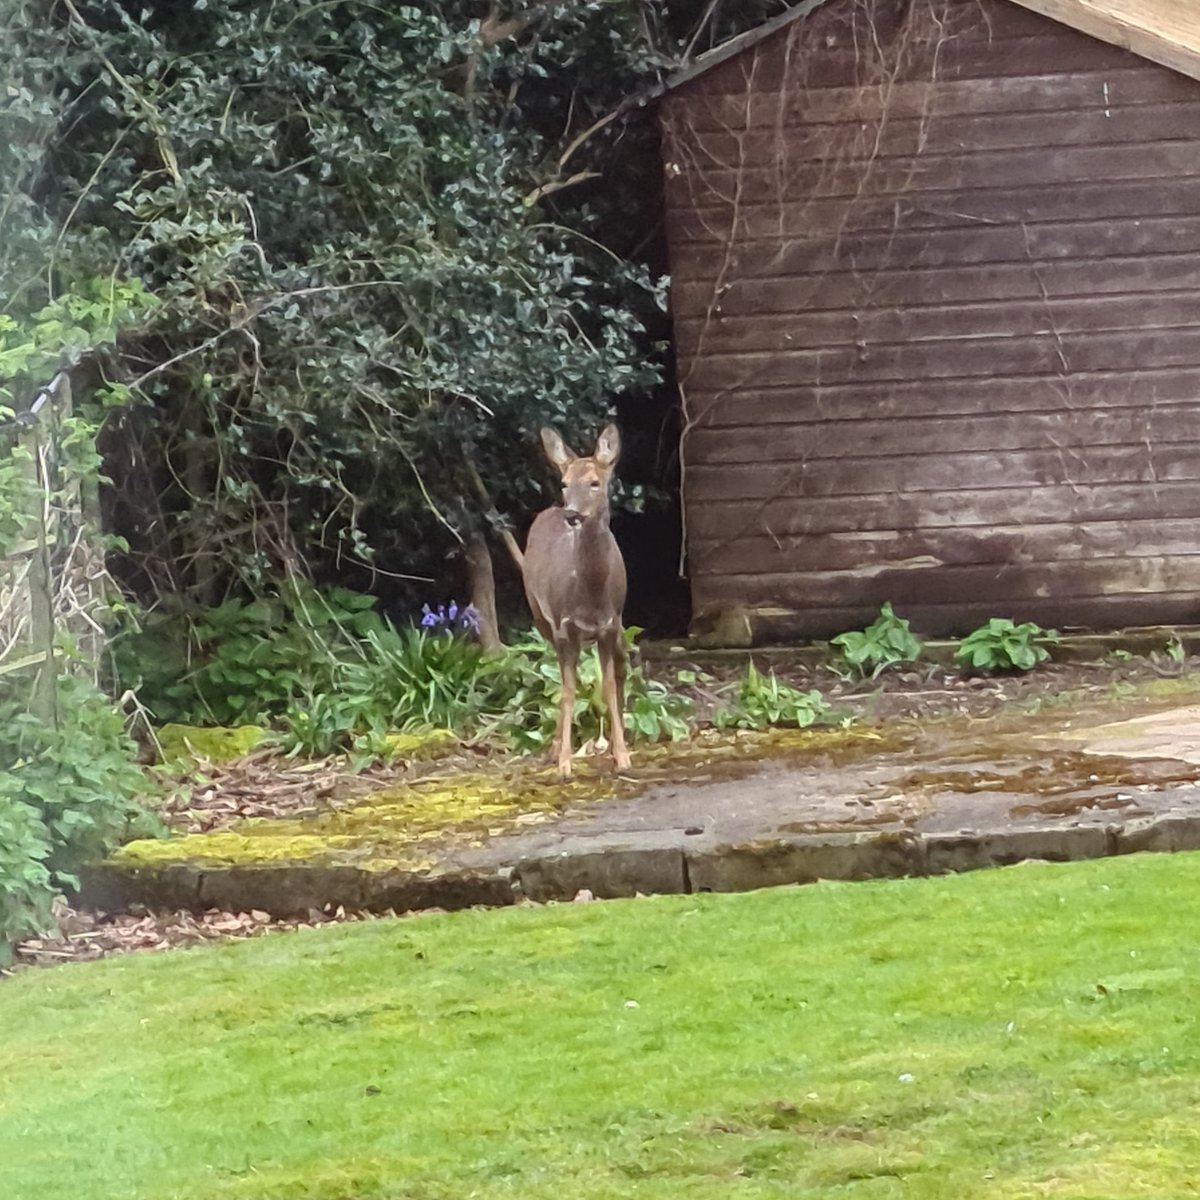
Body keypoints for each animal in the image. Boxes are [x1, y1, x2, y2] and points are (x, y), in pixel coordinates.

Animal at [522, 423, 630, 779]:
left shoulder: (610, 625)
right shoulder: (563, 626)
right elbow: (568, 691)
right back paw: (555, 749)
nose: (572, 514)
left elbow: (608, 685)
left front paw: (621, 755)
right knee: (562, 679)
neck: (591, 595)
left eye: (595, 482)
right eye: (565, 484)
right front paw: (565, 762)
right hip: (540, 616)